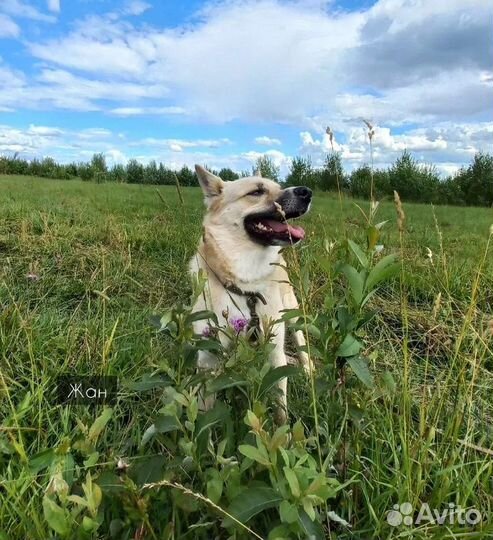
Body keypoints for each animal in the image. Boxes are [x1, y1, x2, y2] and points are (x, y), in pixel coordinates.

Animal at [188, 165, 312, 422]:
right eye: (256, 191)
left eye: (279, 186)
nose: (307, 191)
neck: (245, 286)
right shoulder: (208, 358)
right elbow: (205, 408)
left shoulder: (275, 351)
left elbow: (280, 407)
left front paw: (283, 431)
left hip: (293, 315)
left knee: (303, 346)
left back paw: (308, 372)